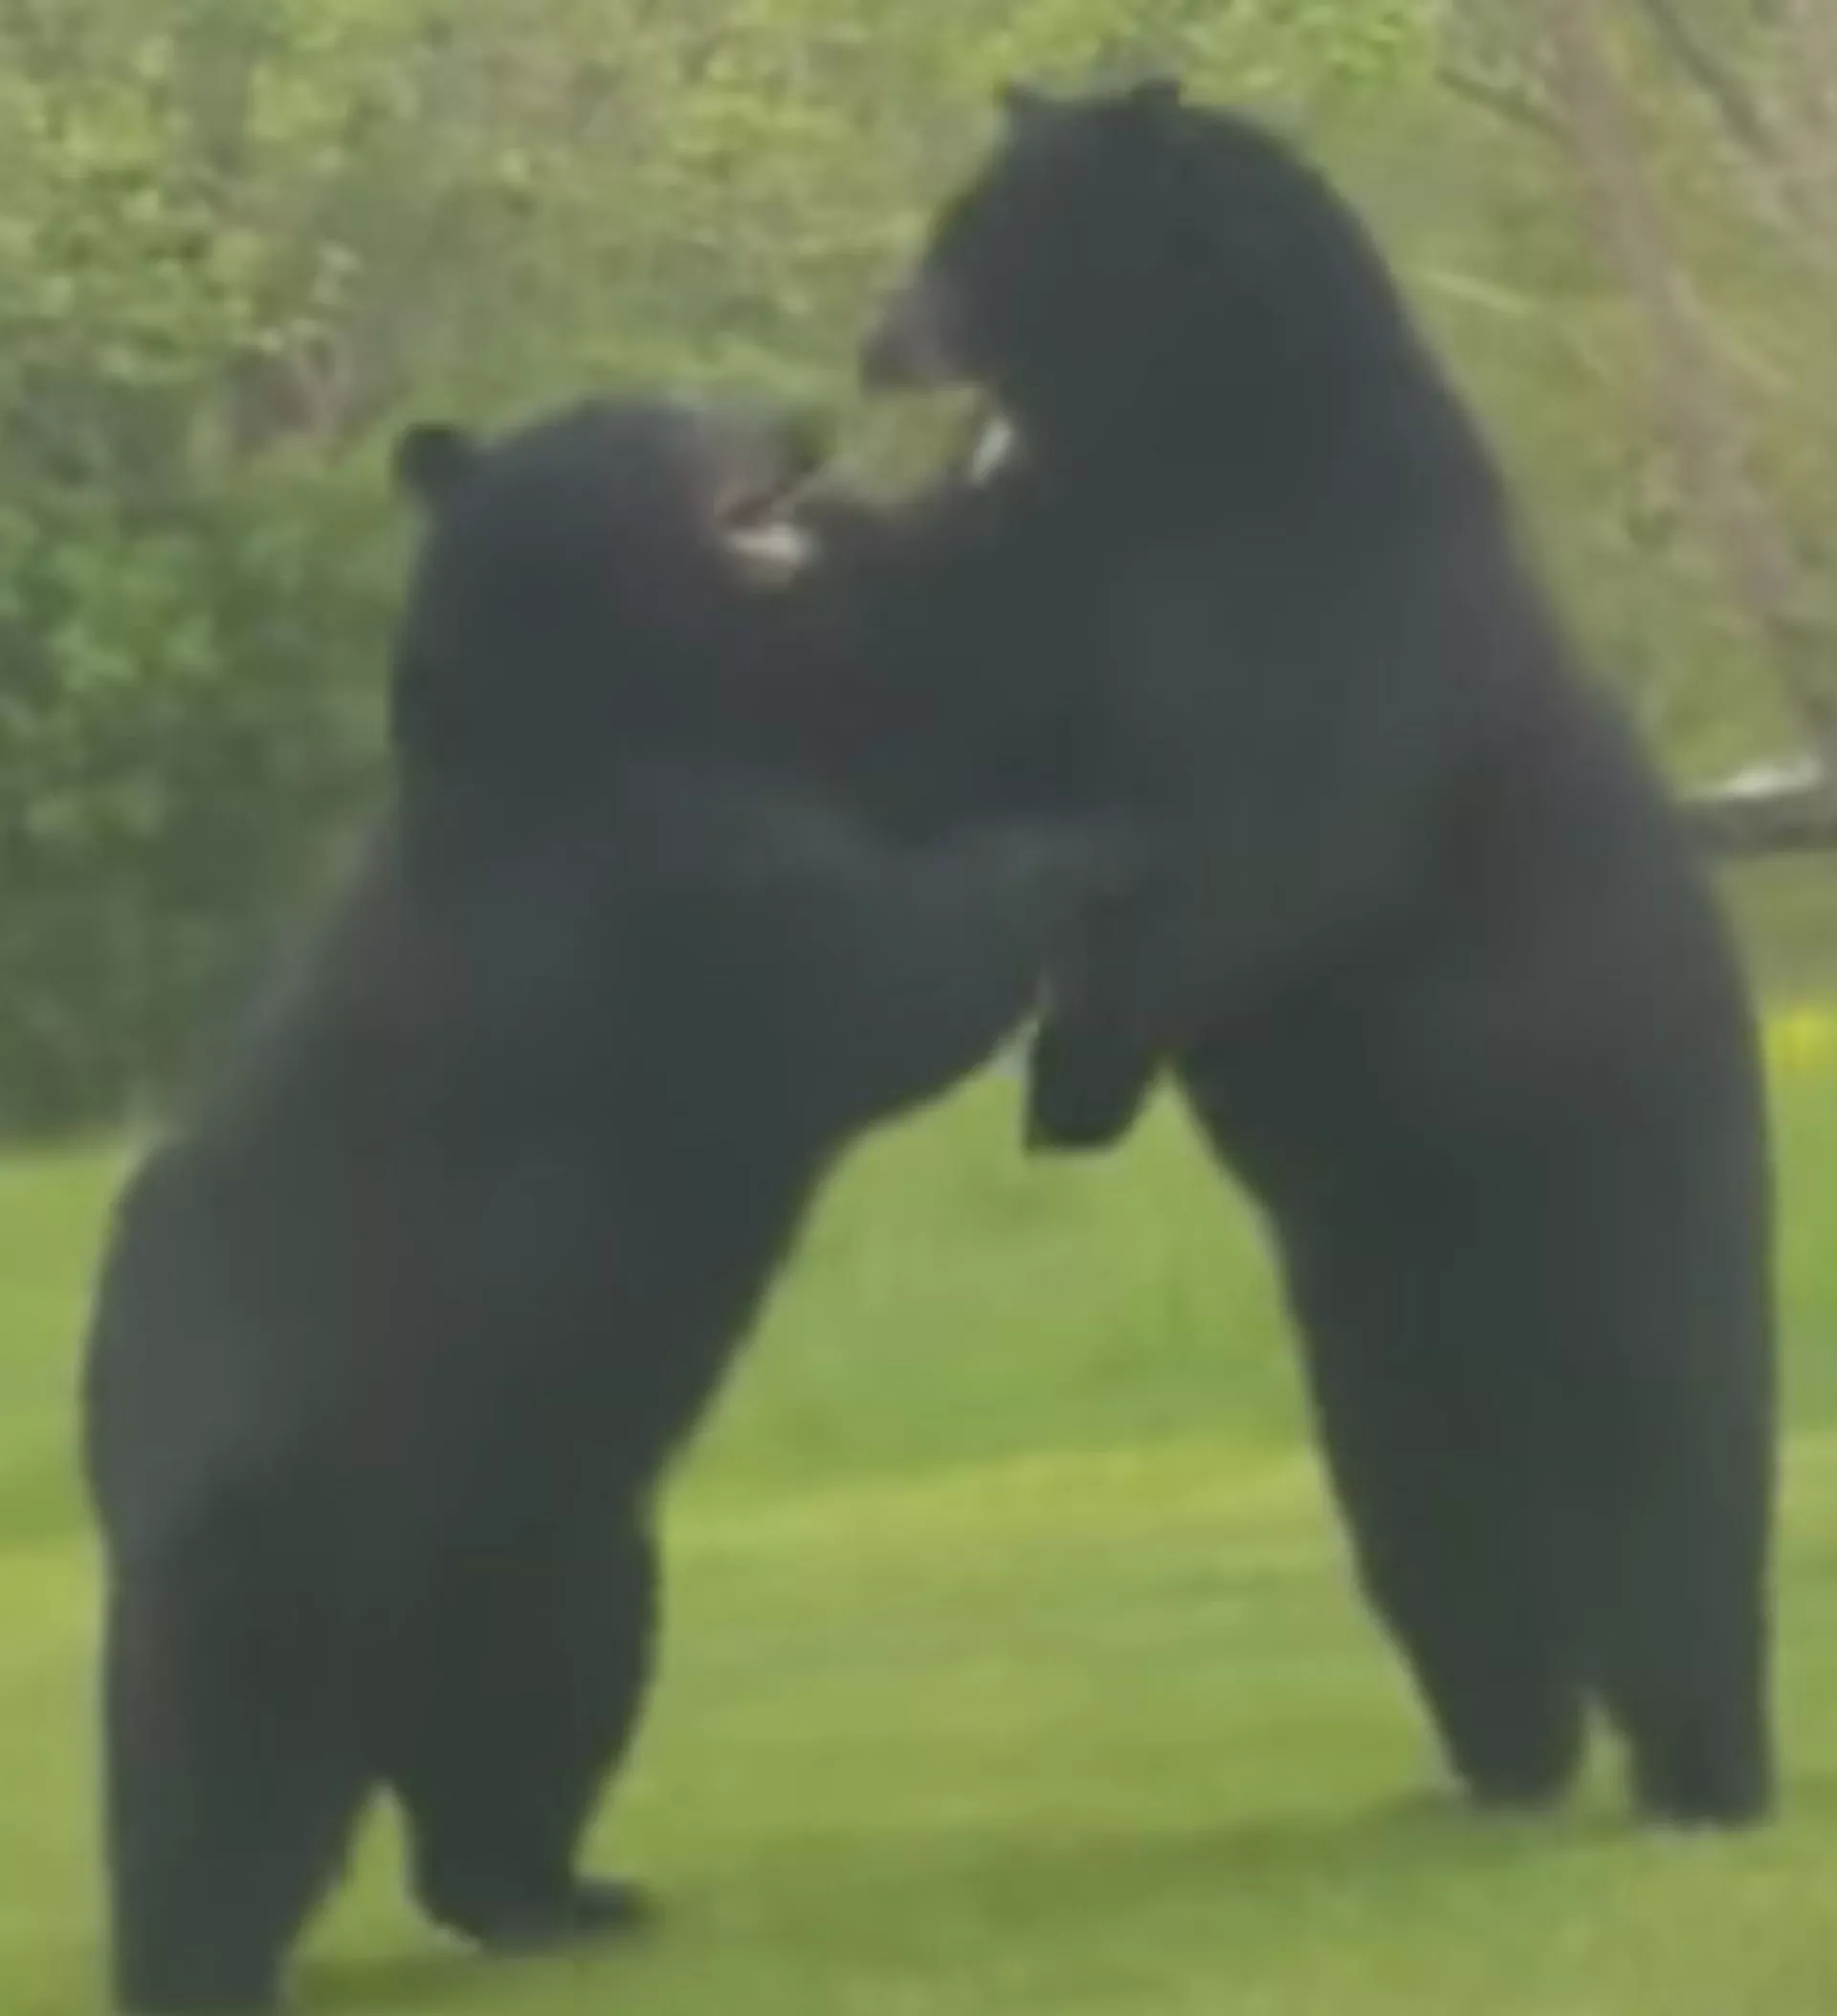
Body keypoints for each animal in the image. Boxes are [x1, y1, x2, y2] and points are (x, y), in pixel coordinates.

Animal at [82, 394, 1119, 2013]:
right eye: (676, 421)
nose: (799, 423)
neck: (602, 712)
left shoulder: (774, 747)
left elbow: (907, 735)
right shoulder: (631, 896)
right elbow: (871, 976)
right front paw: (1058, 853)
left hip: (561, 1555)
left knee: (535, 1737)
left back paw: (560, 1892)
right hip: (265, 1551)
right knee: (212, 1790)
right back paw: (202, 1960)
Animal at [852, 80, 1776, 1827]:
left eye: (972, 234)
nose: (881, 341)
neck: (1201, 450)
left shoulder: (1339, 603)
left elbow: (1285, 838)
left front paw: (1074, 1071)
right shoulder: (1074, 571)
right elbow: (973, 693)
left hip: (1619, 1177)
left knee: (1673, 1466)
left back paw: (1702, 1767)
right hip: (1370, 1319)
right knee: (1442, 1531)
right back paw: (1504, 1759)